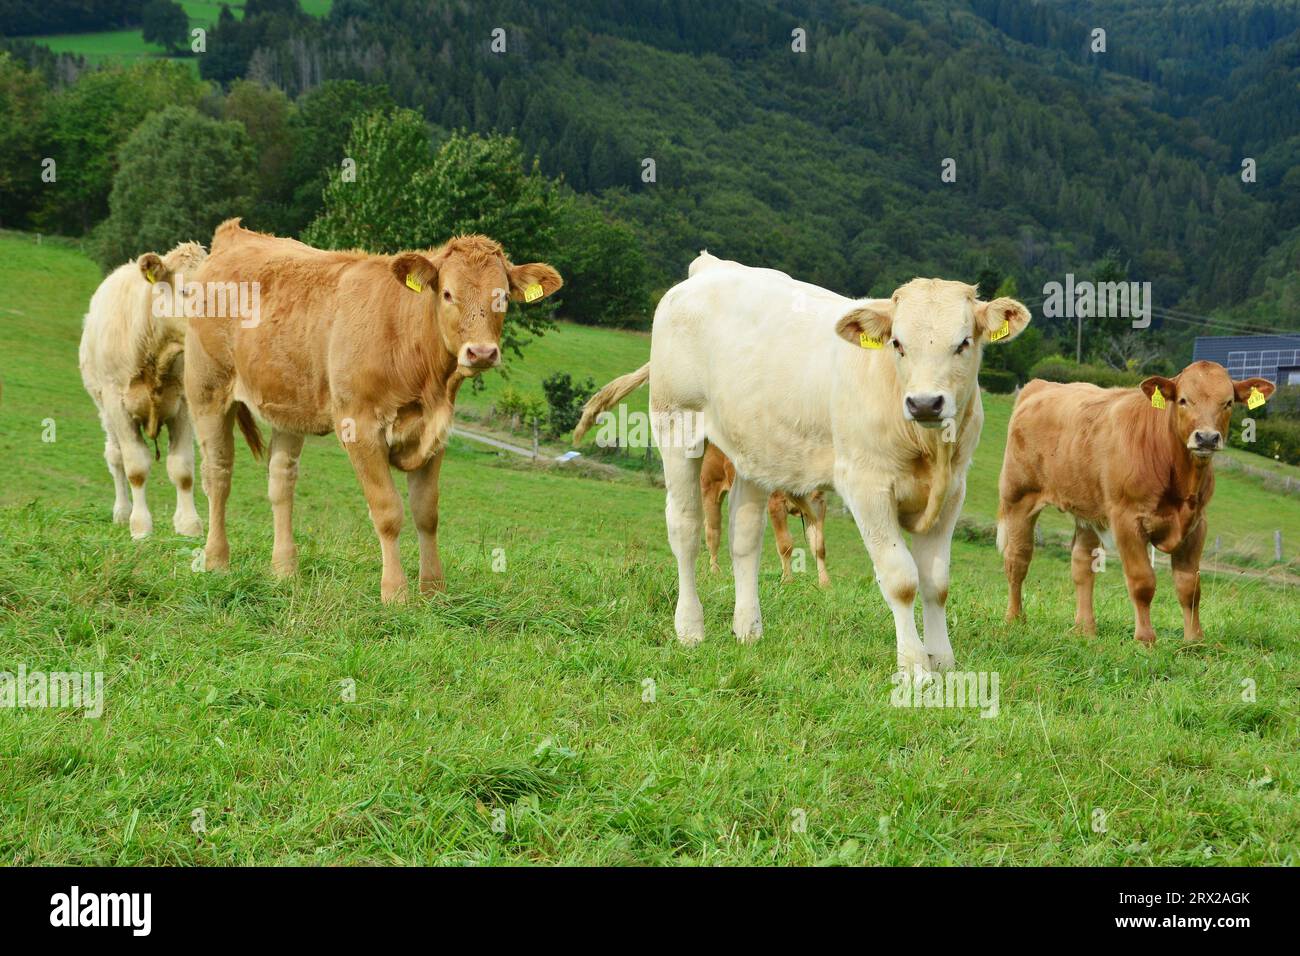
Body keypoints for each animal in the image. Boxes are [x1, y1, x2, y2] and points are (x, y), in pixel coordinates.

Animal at [79, 242, 208, 539]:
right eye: (185, 290)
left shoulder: (183, 403)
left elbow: (182, 467)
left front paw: (188, 524)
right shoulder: (117, 403)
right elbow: (135, 465)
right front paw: (140, 526)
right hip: (104, 410)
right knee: (115, 457)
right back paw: (122, 512)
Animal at [184, 219, 561, 600]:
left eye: (502, 297)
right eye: (447, 294)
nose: (481, 352)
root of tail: (233, 235)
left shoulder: (436, 434)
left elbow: (427, 513)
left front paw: (434, 591)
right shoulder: (360, 428)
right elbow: (388, 511)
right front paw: (395, 593)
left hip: (288, 406)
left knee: (281, 481)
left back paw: (285, 571)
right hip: (207, 391)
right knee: (218, 475)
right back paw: (217, 560)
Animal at [700, 444, 830, 585]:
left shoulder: (818, 504)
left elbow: (819, 546)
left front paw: (825, 583)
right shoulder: (776, 502)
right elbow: (785, 544)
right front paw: (787, 580)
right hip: (710, 488)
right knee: (712, 532)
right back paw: (715, 572)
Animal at [997, 361, 1275, 644]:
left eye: (1228, 402)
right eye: (1184, 400)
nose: (1207, 438)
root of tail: (1039, 386)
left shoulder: (1197, 524)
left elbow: (1190, 587)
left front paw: (1194, 640)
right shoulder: (1127, 520)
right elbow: (1142, 582)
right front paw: (1145, 638)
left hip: (1088, 510)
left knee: (1082, 563)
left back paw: (1085, 629)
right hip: (1018, 497)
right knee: (1017, 559)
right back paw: (1014, 619)